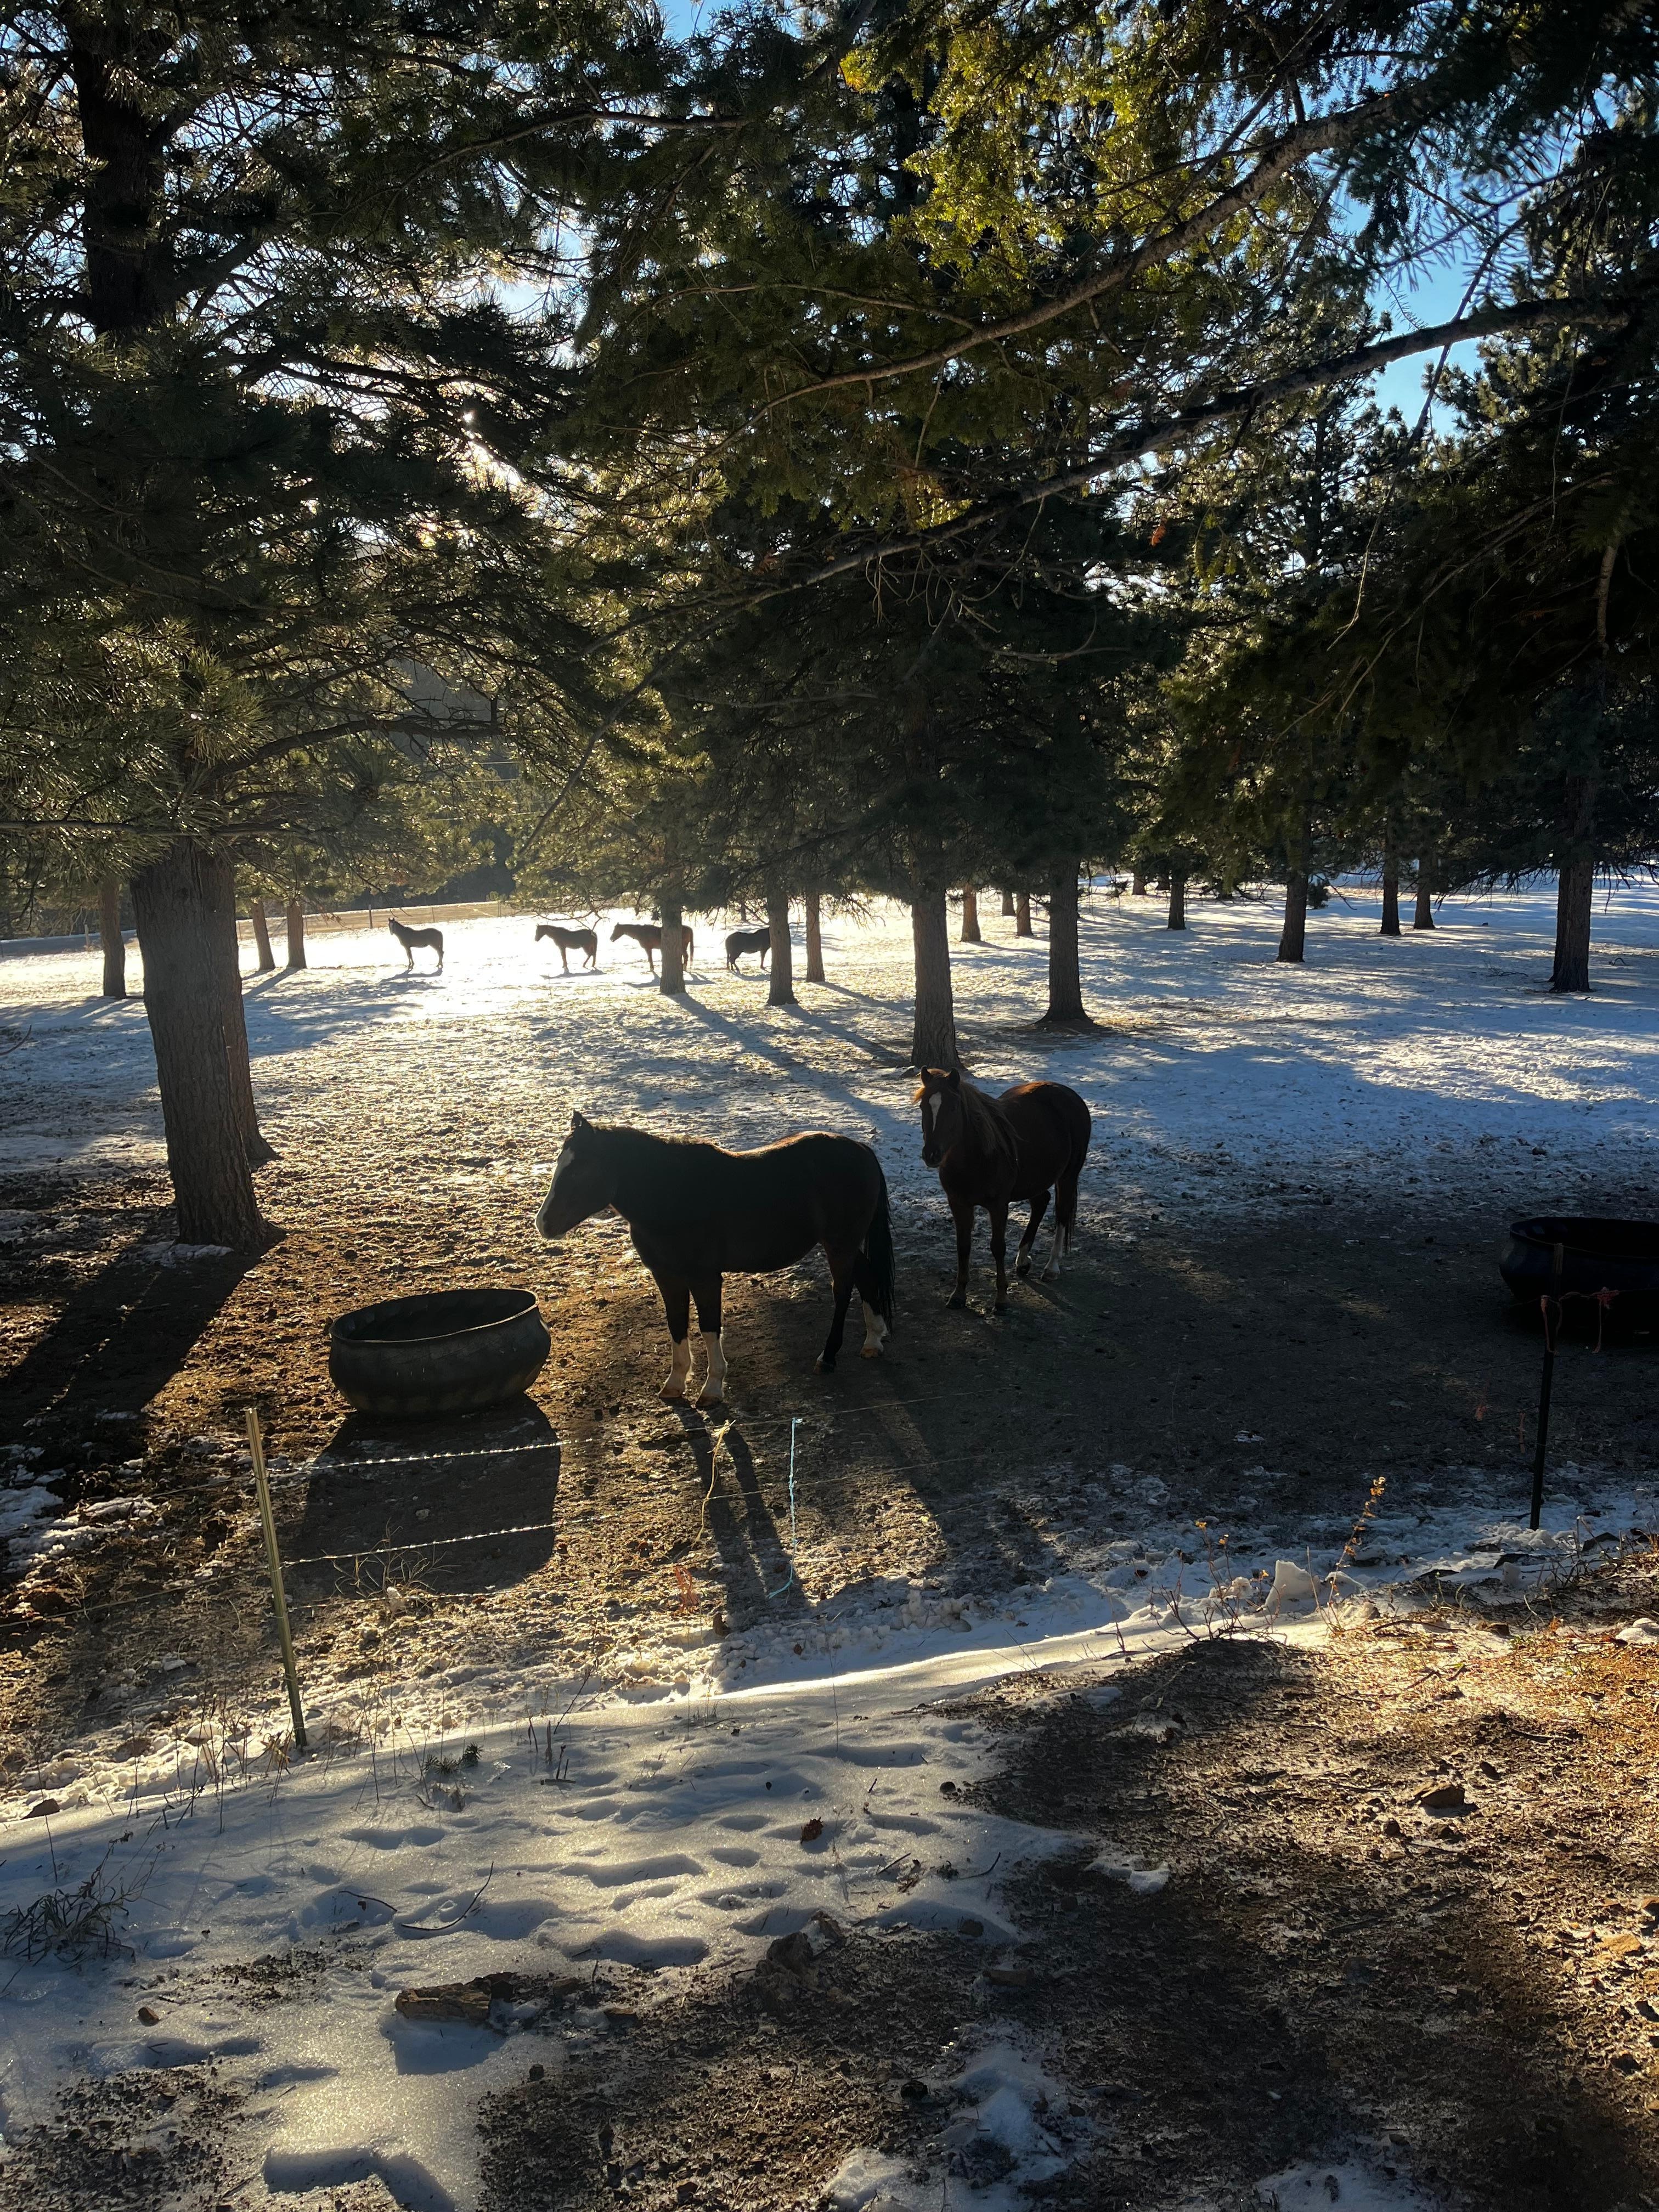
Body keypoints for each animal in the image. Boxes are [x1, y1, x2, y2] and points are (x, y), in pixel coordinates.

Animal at [536, 1113, 894, 1405]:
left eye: (580, 1170)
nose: (543, 1224)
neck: (672, 1197)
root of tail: (861, 1150)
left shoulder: (704, 1278)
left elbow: (709, 1327)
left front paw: (712, 1388)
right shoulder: (667, 1277)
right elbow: (676, 1324)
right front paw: (675, 1384)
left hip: (839, 1245)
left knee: (842, 1291)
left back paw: (829, 1356)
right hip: (844, 1245)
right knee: (867, 1277)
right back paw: (874, 1340)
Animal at [611, 921, 694, 975]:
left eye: (616, 930)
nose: (611, 939)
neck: (641, 933)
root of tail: (689, 929)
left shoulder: (648, 948)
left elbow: (650, 959)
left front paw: (652, 969)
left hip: (682, 947)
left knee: (686, 956)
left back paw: (684, 968)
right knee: (686, 956)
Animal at [913, 1068, 1091, 1312]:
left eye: (953, 1107)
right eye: (923, 1106)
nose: (932, 1154)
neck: (977, 1157)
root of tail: (1070, 1095)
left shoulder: (998, 1205)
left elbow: (998, 1247)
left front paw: (1002, 1299)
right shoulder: (958, 1204)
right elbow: (963, 1246)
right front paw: (958, 1294)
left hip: (1068, 1176)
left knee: (1062, 1215)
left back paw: (1052, 1267)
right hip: (1034, 1179)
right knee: (1041, 1202)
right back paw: (1023, 1260)